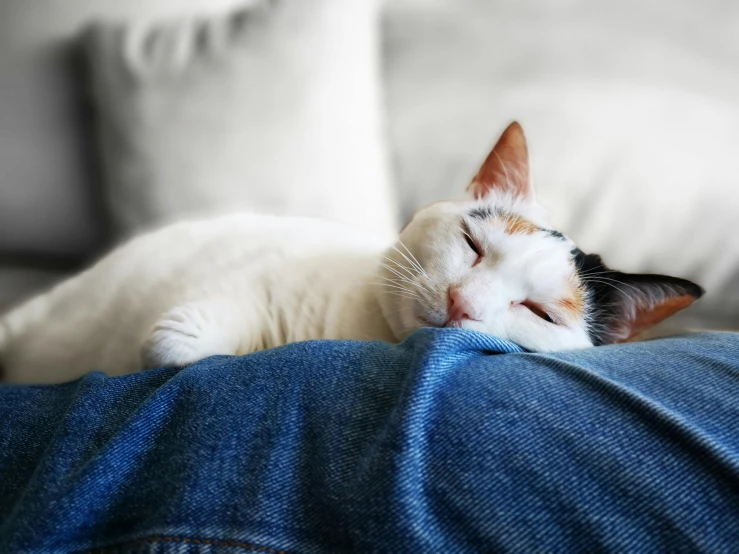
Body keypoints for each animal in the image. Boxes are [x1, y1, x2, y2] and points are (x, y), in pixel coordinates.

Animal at [0, 121, 704, 382]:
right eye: (473, 246)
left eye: (539, 312)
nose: (461, 302)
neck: (357, 327)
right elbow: (174, 342)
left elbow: (172, 347)